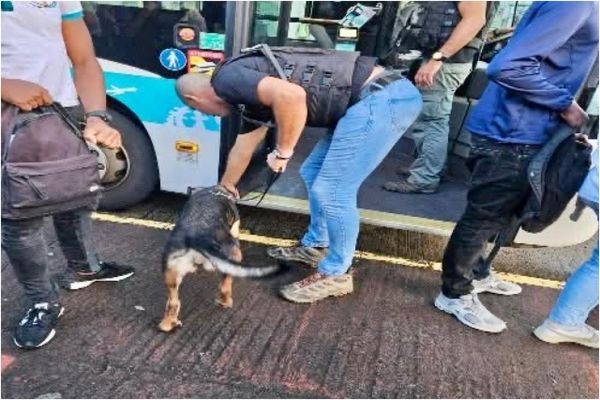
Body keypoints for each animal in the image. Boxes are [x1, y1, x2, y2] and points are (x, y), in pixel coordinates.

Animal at [157, 186, 278, 332]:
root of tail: (196, 237)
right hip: (234, 255)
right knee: (224, 287)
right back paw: (225, 302)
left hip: (172, 275)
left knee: (173, 303)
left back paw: (168, 323)